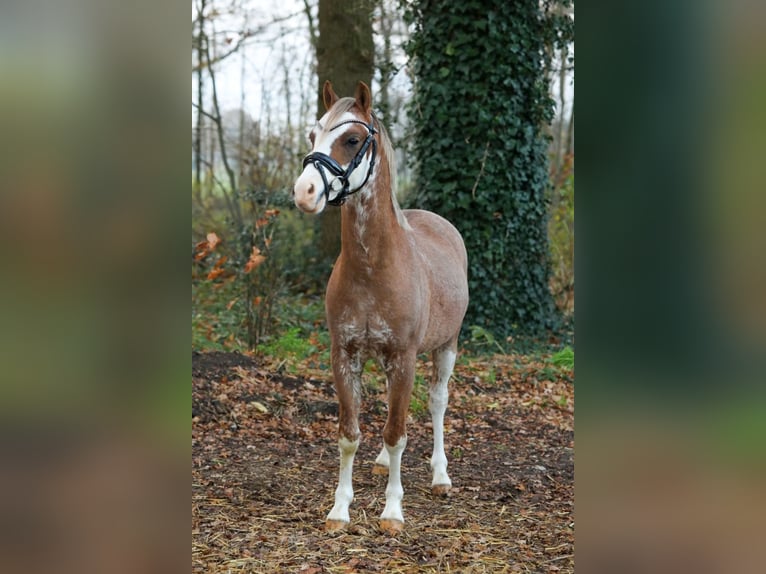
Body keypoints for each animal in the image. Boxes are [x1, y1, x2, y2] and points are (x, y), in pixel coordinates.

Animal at [294, 80, 472, 536]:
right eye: (312, 135)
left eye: (352, 140)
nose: (304, 193)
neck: (373, 268)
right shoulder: (344, 355)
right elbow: (349, 432)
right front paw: (340, 509)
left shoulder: (404, 357)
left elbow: (397, 433)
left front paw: (392, 511)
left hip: (445, 347)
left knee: (437, 402)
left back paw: (440, 476)